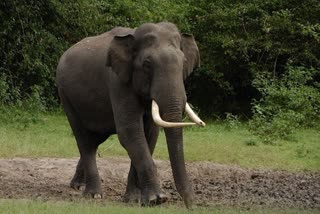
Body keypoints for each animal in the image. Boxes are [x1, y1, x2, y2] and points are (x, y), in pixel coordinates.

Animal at [55, 22, 205, 208]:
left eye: (183, 62)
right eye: (147, 64)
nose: (192, 205)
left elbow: (149, 135)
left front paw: (134, 199)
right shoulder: (117, 81)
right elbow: (130, 132)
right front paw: (156, 199)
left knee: (95, 140)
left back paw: (76, 186)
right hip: (66, 95)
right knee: (84, 140)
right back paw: (93, 195)